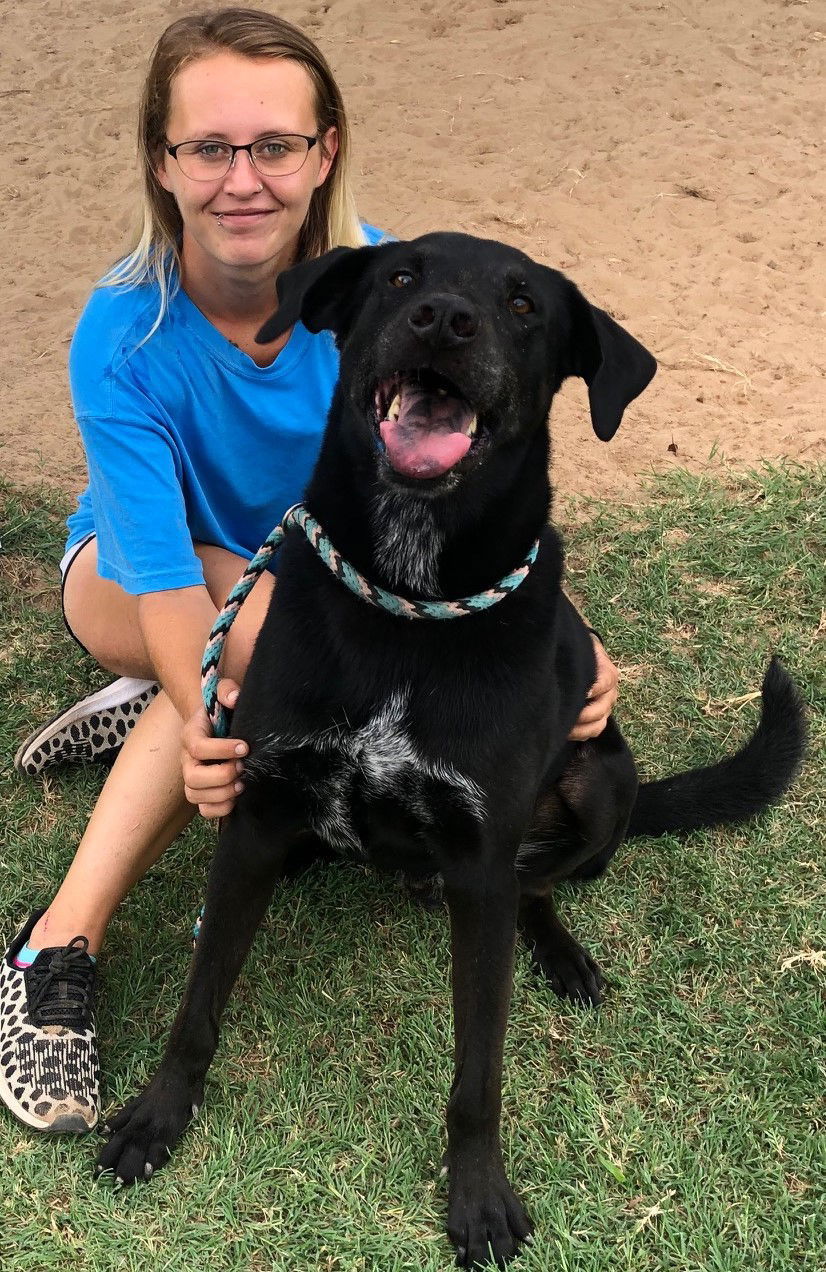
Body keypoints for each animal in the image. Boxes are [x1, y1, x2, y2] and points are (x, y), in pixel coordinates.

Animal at [99, 236, 804, 1261]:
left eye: (522, 304)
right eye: (402, 278)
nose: (444, 319)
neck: (409, 599)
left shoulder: (477, 864)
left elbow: (478, 1073)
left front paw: (477, 1197)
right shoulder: (254, 814)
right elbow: (198, 1003)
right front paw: (158, 1118)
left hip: (602, 781)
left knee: (541, 882)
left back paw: (561, 952)